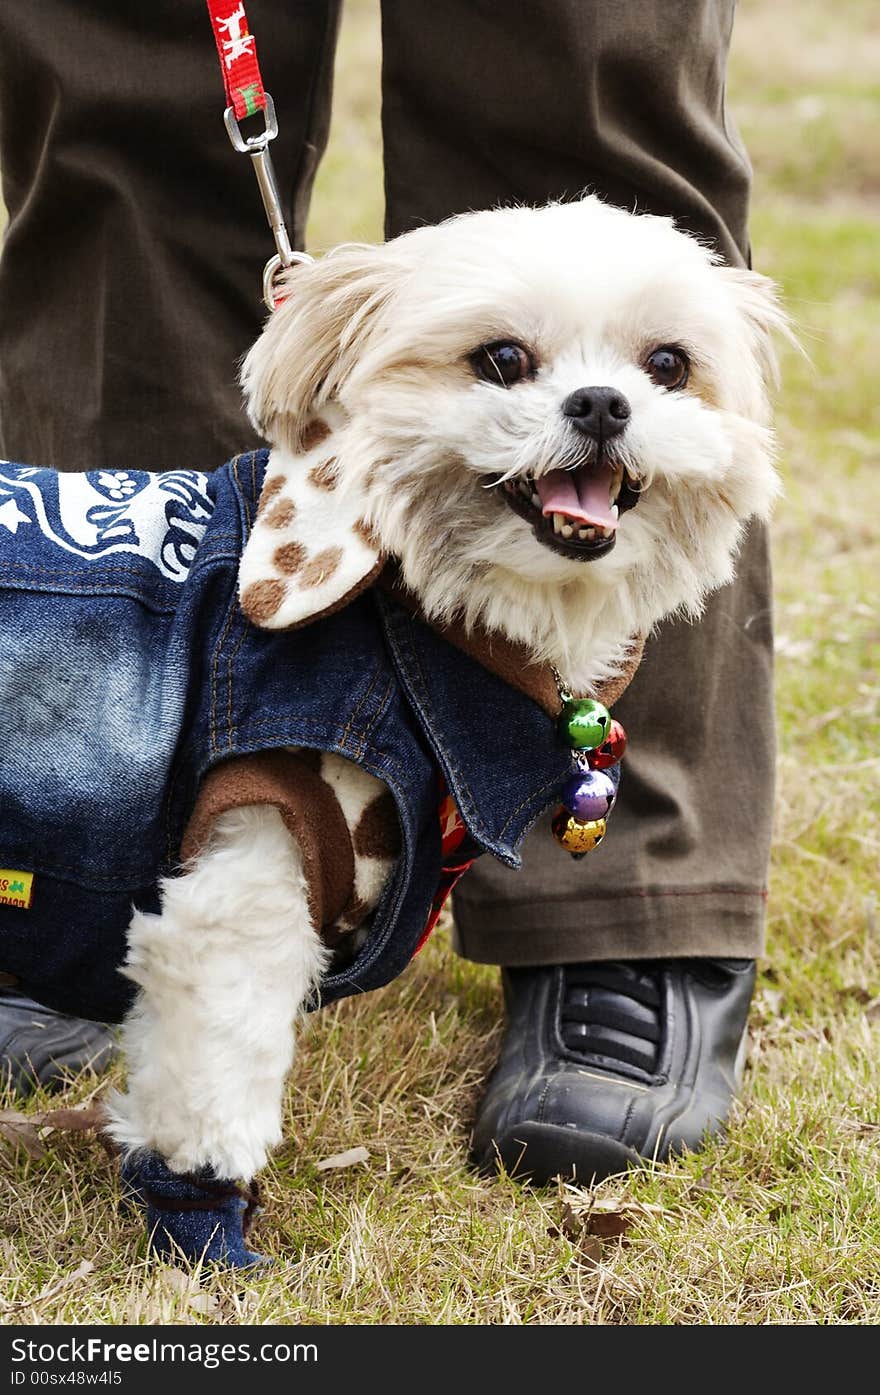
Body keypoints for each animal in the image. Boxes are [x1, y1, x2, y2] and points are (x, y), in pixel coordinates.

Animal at [0, 196, 786, 1266]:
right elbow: (212, 1089)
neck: (405, 611)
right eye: (501, 358)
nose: (601, 404)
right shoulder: (243, 880)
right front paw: (208, 1231)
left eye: (667, 363)